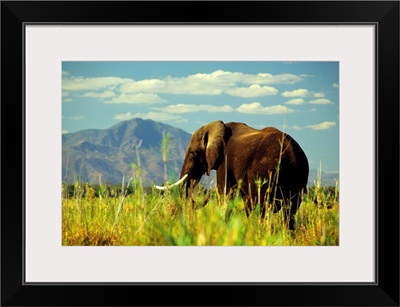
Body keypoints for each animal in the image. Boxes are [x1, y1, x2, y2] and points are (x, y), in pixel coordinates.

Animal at [156, 120, 310, 231]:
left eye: (193, 153)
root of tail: (292, 153)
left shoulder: (224, 160)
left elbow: (224, 192)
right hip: (299, 176)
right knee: (290, 211)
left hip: (266, 172)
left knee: (264, 205)